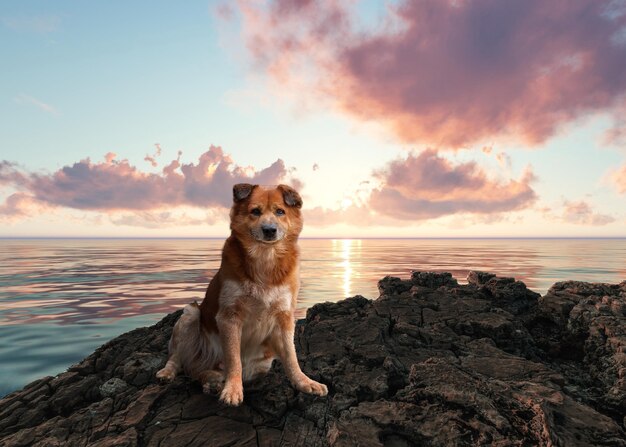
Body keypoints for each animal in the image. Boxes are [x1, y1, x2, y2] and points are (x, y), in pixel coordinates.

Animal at [155, 182, 326, 406]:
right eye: (255, 211)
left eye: (280, 211)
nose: (269, 230)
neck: (265, 258)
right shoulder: (229, 316)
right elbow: (233, 358)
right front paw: (233, 389)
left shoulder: (284, 318)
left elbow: (291, 357)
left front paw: (304, 382)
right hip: (189, 315)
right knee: (179, 358)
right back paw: (171, 373)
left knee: (197, 372)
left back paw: (212, 382)